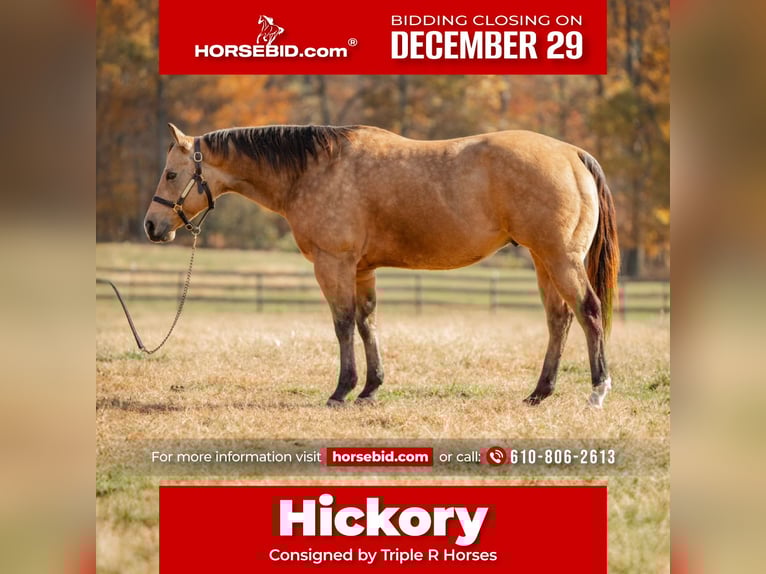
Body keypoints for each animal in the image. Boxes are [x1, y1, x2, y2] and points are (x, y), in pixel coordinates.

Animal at [144, 123, 620, 408]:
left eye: (170, 174)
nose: (151, 226)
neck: (314, 170)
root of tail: (572, 153)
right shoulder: (361, 269)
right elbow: (366, 322)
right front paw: (371, 388)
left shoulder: (333, 264)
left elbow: (342, 324)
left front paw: (342, 390)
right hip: (543, 261)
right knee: (559, 320)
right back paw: (539, 393)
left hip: (560, 259)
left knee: (589, 312)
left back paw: (597, 390)